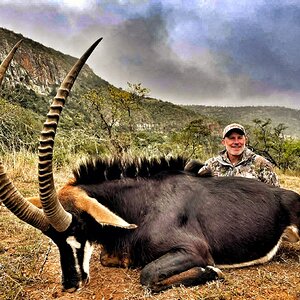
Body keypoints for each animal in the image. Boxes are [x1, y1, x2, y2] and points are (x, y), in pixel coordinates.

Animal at [0, 38, 298, 292]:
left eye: (79, 228)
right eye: (52, 238)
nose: (71, 285)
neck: (143, 204)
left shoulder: (192, 250)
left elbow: (148, 275)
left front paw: (212, 271)